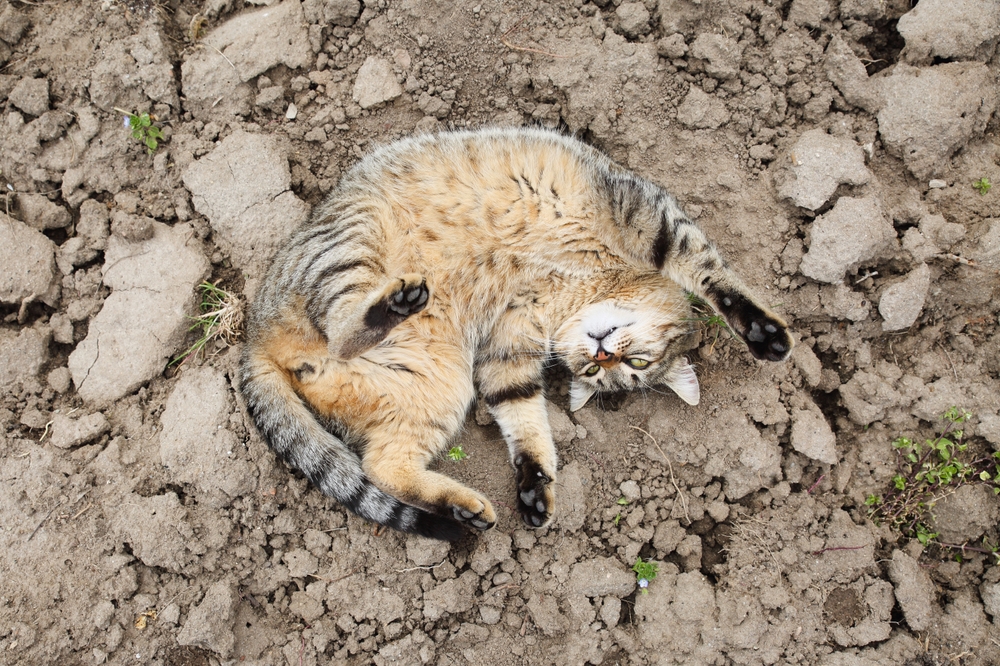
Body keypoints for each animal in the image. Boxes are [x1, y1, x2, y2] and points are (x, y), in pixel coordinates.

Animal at [238, 124, 792, 540]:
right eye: (630, 365)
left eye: (613, 372)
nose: (602, 354)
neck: (582, 287)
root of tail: (254, 339)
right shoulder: (644, 214)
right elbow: (712, 272)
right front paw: (765, 333)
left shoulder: (508, 343)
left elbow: (523, 414)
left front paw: (535, 484)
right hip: (354, 242)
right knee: (342, 328)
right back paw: (395, 302)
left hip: (438, 385)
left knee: (382, 466)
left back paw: (462, 509)